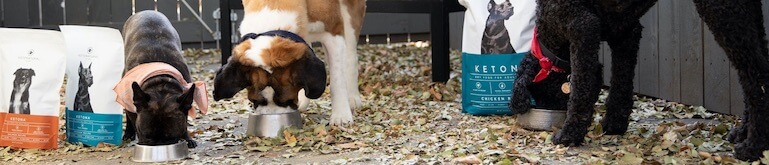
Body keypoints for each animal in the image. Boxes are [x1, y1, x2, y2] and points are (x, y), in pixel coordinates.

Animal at [212, 0, 364, 125]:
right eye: (255, 101)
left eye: (286, 101)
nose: (272, 117)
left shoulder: (333, 32)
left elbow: (337, 80)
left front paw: (341, 115)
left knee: (350, 54)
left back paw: (353, 97)